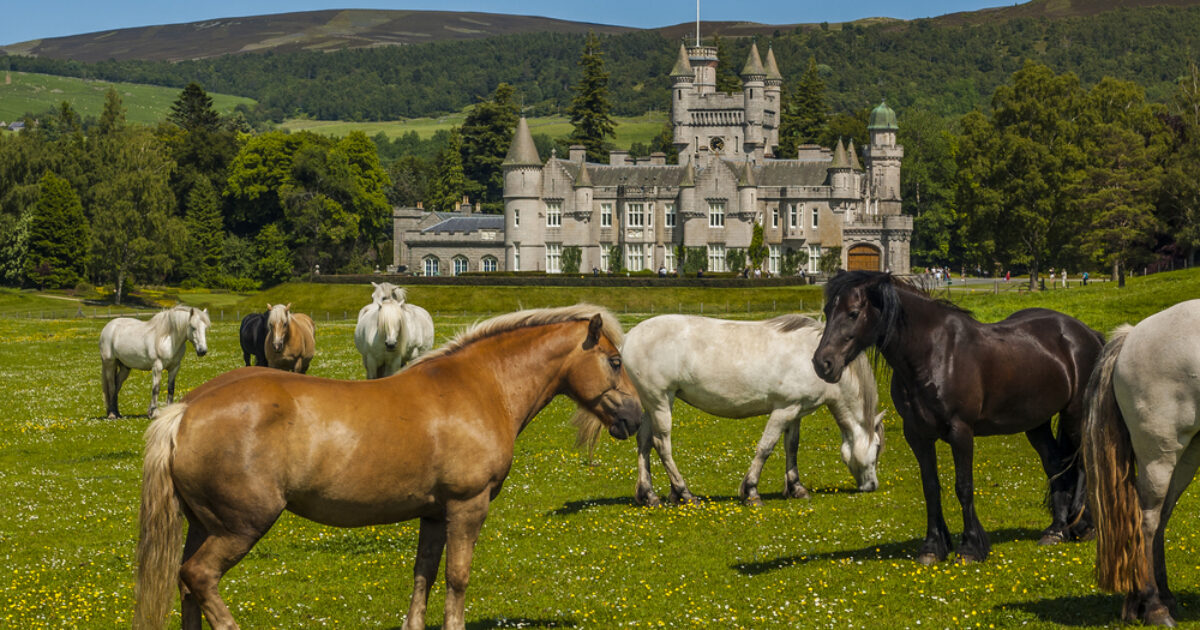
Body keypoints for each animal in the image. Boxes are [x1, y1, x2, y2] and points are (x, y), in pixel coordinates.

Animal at [132, 305, 641, 630]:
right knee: (200, 578)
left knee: (187, 587)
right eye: (615, 361)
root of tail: (186, 410)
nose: (635, 418)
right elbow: (457, 578)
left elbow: (424, 575)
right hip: (241, 526)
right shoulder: (467, 507)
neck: (481, 386)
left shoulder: (434, 514)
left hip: (203, 525)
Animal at [578, 313, 884, 507]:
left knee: (643, 443)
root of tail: (629, 338)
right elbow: (766, 448)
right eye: (878, 448)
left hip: (650, 405)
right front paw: (751, 492)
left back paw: (649, 495)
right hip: (660, 401)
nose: (872, 486)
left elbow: (791, 447)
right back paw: (684, 493)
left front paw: (796, 488)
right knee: (661, 444)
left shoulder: (795, 411)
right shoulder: (783, 410)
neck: (815, 357)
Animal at [811, 270, 1102, 564]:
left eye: (853, 313)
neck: (933, 352)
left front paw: (971, 547)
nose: (823, 363)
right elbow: (930, 487)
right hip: (1036, 424)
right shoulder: (916, 434)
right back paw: (1056, 530)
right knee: (1055, 465)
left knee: (1082, 464)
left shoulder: (960, 431)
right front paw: (932, 547)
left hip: (1074, 417)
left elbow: (963, 486)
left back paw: (1083, 527)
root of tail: (1087, 334)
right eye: (827, 311)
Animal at [1084, 300, 1200, 627]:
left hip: (1186, 455)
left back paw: (1157, 600)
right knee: (1148, 520)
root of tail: (1132, 335)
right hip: (1159, 455)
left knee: (1161, 518)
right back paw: (1154, 606)